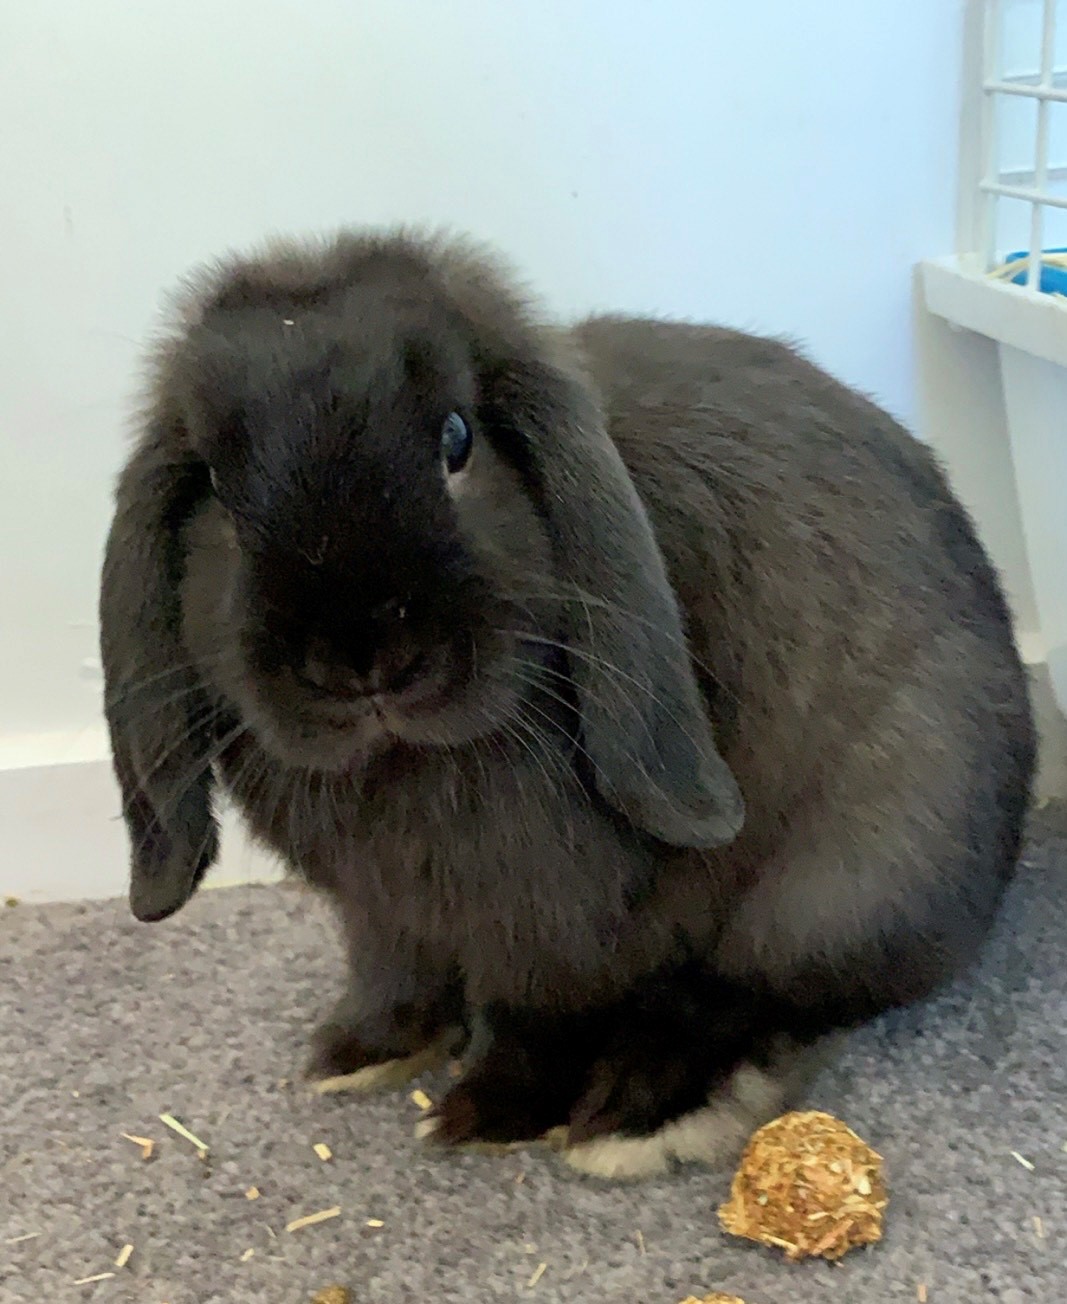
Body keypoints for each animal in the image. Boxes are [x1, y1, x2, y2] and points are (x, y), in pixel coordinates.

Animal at [99, 226, 1033, 1184]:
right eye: (218, 484)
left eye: (457, 439)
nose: (363, 661)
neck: (409, 769)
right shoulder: (382, 914)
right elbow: (394, 974)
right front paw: (360, 1054)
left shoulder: (557, 922)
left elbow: (541, 1019)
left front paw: (486, 1113)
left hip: (851, 874)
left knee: (756, 996)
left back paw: (639, 1113)